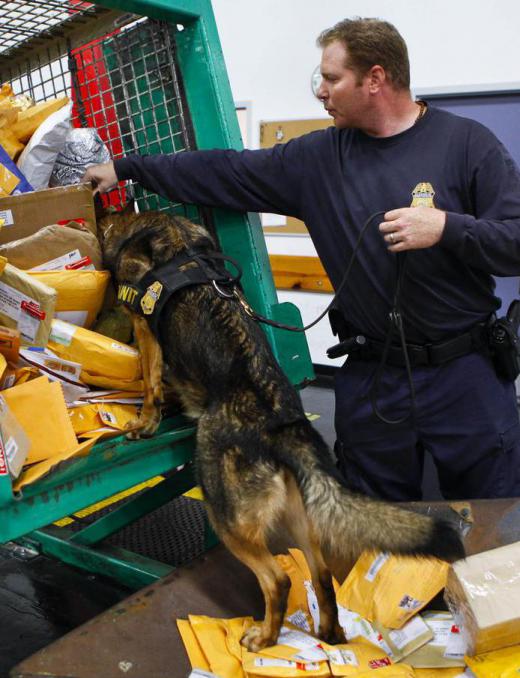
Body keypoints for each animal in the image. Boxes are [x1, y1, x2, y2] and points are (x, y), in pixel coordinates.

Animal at [97, 209, 464, 652]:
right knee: (321, 575)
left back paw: (264, 637)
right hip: (298, 519)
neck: (160, 227)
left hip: (226, 516)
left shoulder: (144, 326)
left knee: (278, 579)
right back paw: (330, 634)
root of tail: (281, 427)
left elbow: (149, 380)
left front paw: (144, 423)